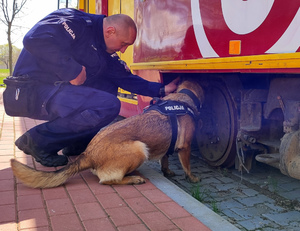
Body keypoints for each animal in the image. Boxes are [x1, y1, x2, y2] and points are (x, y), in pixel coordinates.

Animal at [10, 79, 205, 188]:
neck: (183, 97)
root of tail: (88, 154)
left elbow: (164, 158)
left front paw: (167, 171)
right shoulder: (185, 148)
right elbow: (187, 166)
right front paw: (192, 178)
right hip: (139, 148)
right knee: (107, 181)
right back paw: (133, 179)